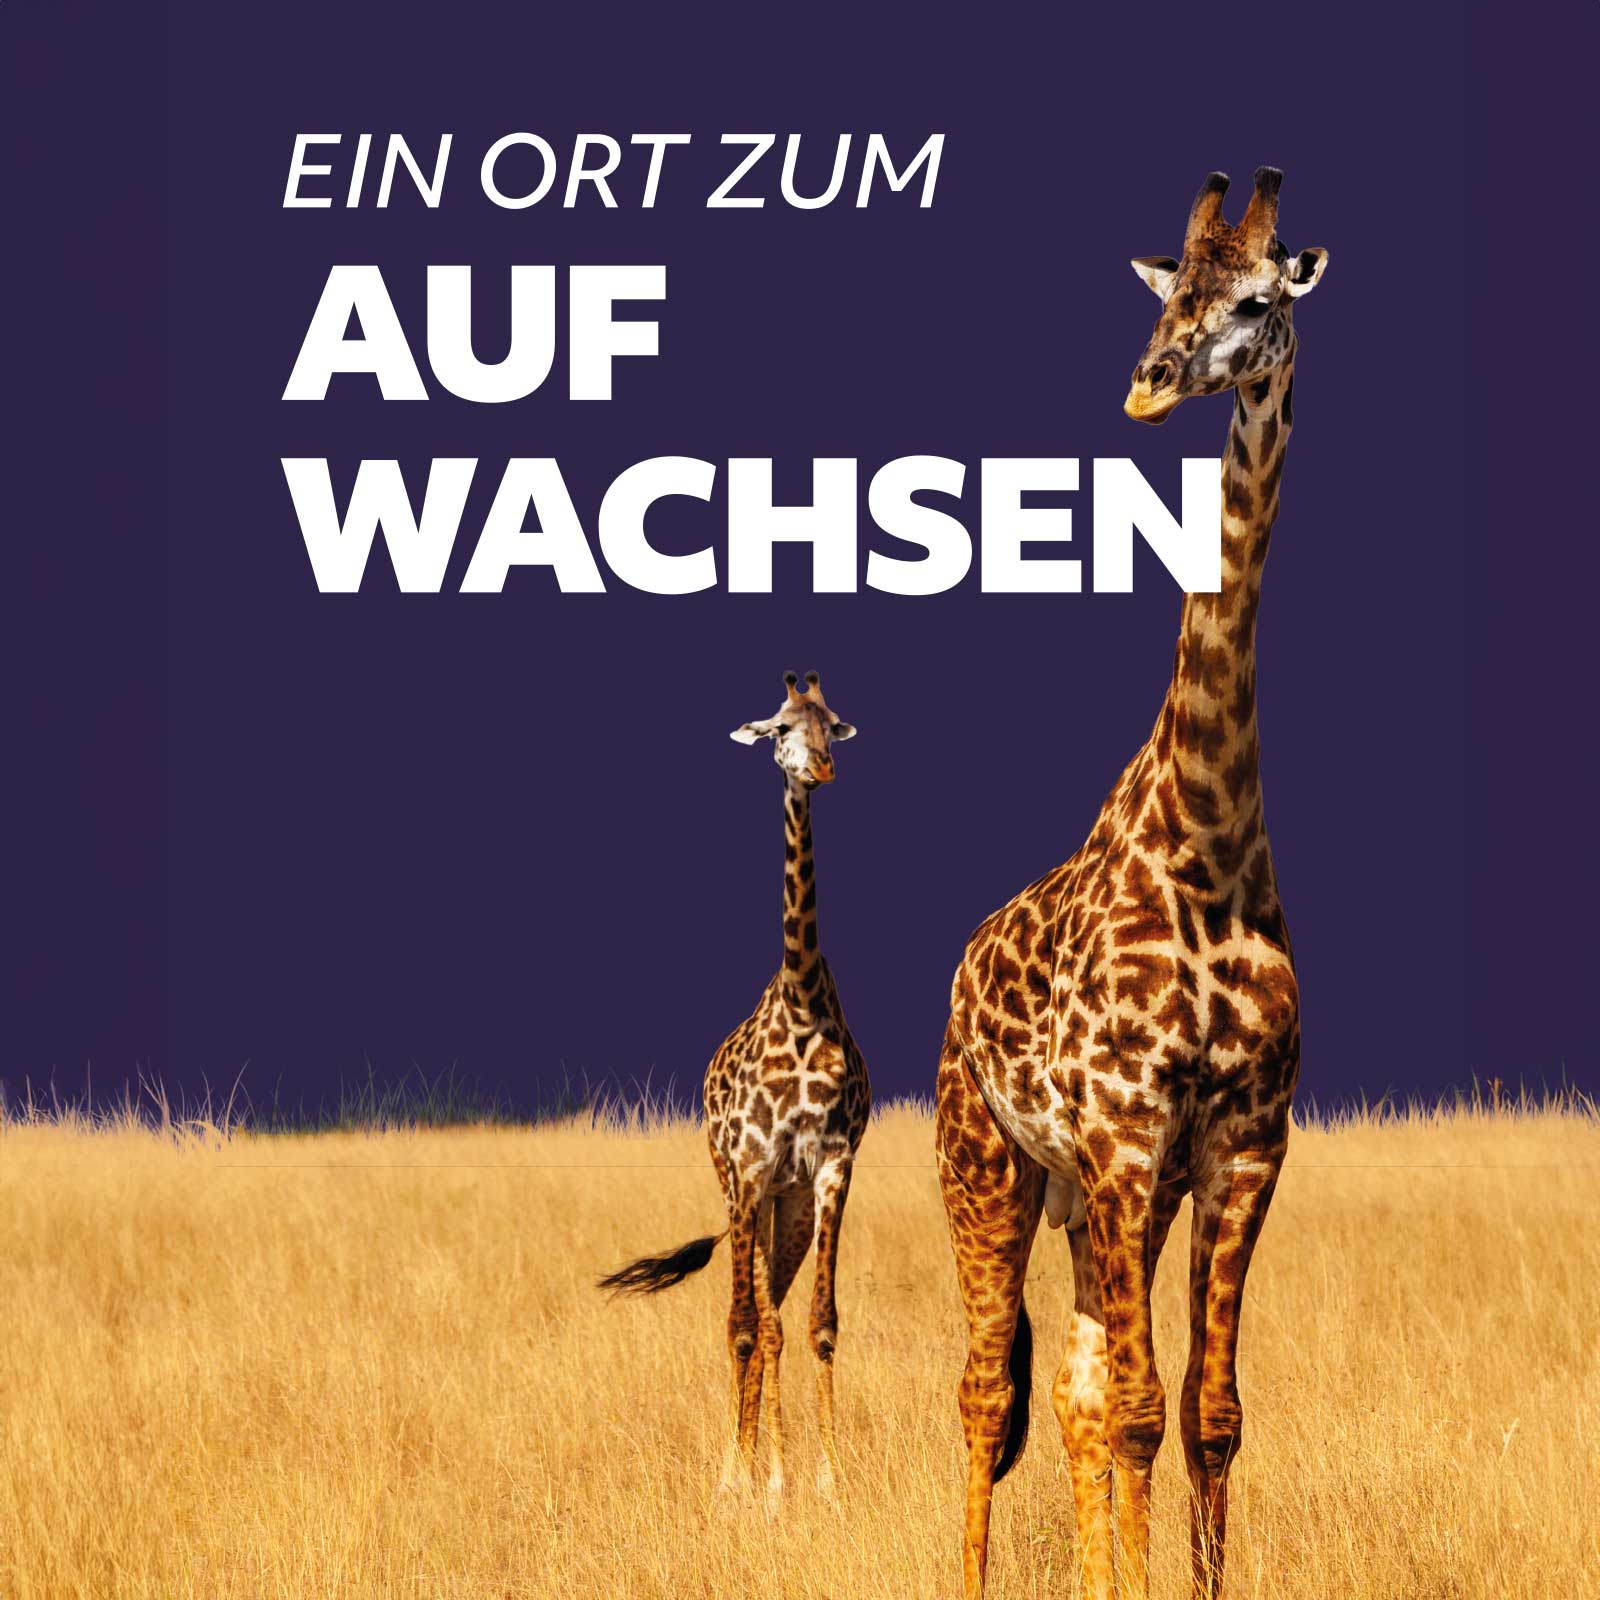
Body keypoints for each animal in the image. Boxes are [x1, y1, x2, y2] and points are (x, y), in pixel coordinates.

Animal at [598, 671, 871, 1507]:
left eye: (831, 724)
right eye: (779, 727)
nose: (821, 769)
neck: (805, 1000)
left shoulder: (832, 1168)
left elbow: (816, 1321)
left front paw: (826, 1481)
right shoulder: (751, 1166)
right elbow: (758, 1327)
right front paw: (765, 1484)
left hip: (785, 1207)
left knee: (770, 1307)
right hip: (736, 1186)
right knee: (742, 1319)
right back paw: (736, 1473)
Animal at [935, 166, 1327, 1600]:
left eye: (1259, 300)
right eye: (1172, 295)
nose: (1151, 385)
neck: (1208, 836)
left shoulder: (1239, 1139)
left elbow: (1207, 1413)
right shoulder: (1116, 1130)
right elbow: (1146, 1412)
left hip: (1103, 1198)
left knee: (1077, 1384)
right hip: (987, 1162)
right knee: (991, 1387)